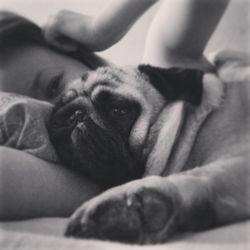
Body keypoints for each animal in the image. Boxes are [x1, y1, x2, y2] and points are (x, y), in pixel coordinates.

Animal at [48, 51, 250, 244]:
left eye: (118, 111)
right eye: (59, 105)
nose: (76, 114)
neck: (191, 126)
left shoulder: (238, 161)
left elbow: (193, 176)